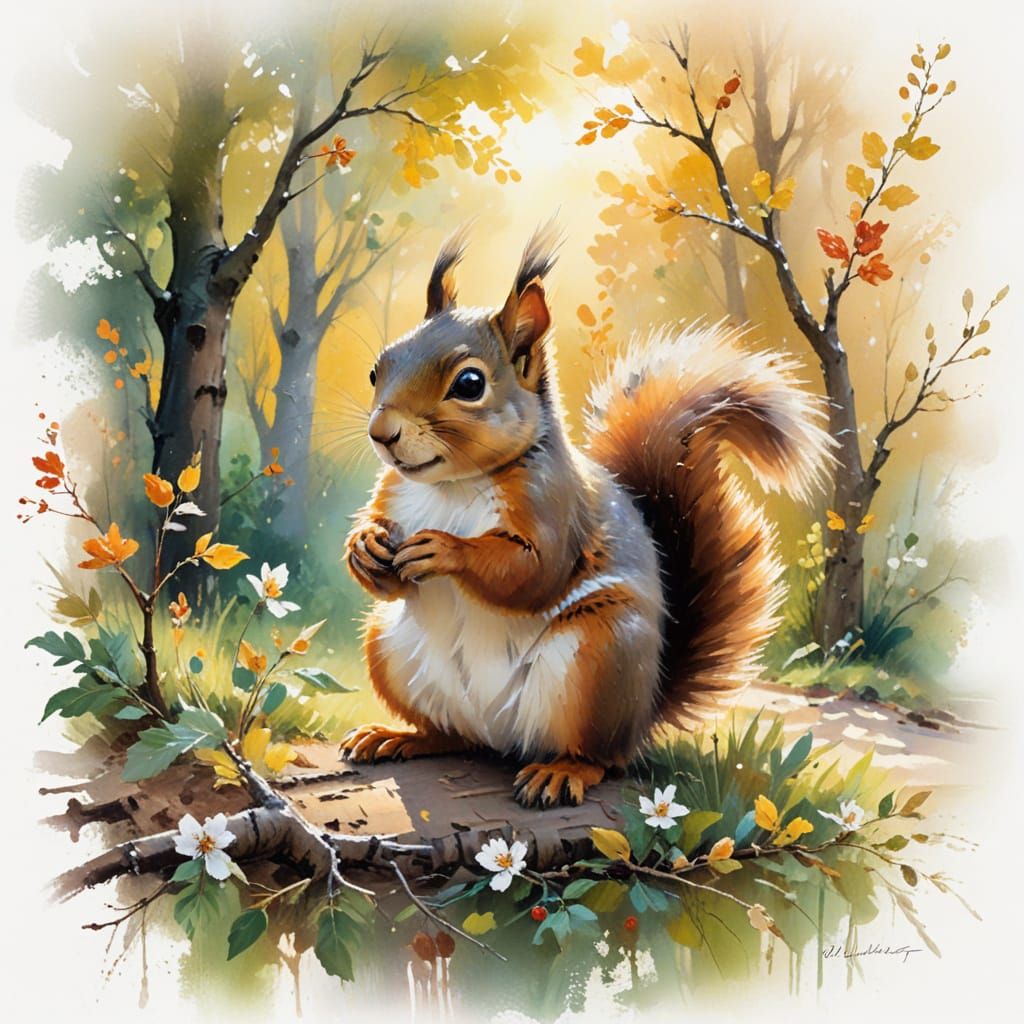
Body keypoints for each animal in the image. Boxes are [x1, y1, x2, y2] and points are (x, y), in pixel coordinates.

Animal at [340, 223, 833, 808]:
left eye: (469, 384)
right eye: (377, 369)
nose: (382, 433)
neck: (451, 486)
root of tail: (502, 736)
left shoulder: (555, 505)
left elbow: (533, 572)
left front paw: (445, 549)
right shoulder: (392, 494)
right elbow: (385, 567)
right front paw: (364, 546)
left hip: (598, 661)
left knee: (599, 756)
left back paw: (561, 772)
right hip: (390, 648)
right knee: (453, 735)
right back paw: (398, 736)